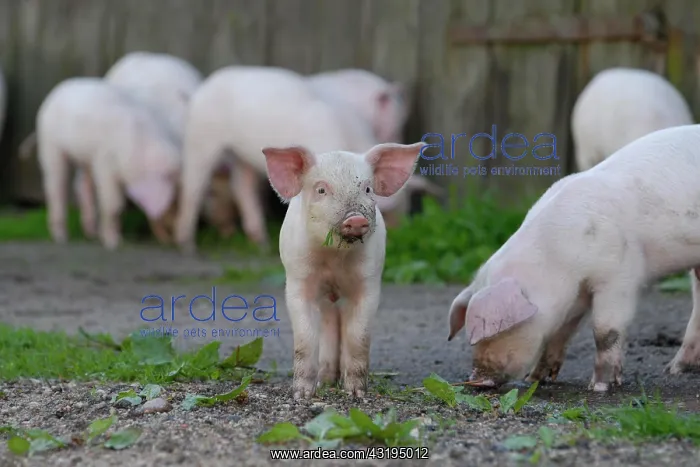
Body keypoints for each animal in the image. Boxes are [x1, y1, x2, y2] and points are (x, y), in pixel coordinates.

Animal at [27, 77, 181, 250]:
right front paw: (114, 244)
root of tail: (54, 94)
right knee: (55, 185)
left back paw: (91, 234)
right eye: (173, 202)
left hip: (86, 158)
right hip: (50, 145)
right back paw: (61, 238)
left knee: (82, 185)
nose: (173, 239)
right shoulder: (105, 163)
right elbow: (113, 204)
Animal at [174, 66, 378, 255]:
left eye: (368, 189)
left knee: (241, 185)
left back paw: (261, 244)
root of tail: (202, 89)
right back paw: (188, 247)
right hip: (201, 136)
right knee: (193, 184)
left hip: (241, 155)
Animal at [264, 141, 425, 399]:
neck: (334, 259)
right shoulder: (298, 280)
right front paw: (302, 395)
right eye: (321, 190)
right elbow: (305, 339)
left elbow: (358, 337)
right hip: (325, 302)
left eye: (367, 189)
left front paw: (356, 393)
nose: (356, 219)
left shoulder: (369, 282)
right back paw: (326, 381)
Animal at [447, 123, 700, 392]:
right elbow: (561, 331)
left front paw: (599, 386)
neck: (558, 257)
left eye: (500, 329)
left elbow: (605, 330)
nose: (476, 380)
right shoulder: (575, 294)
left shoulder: (619, 274)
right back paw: (674, 370)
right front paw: (535, 380)